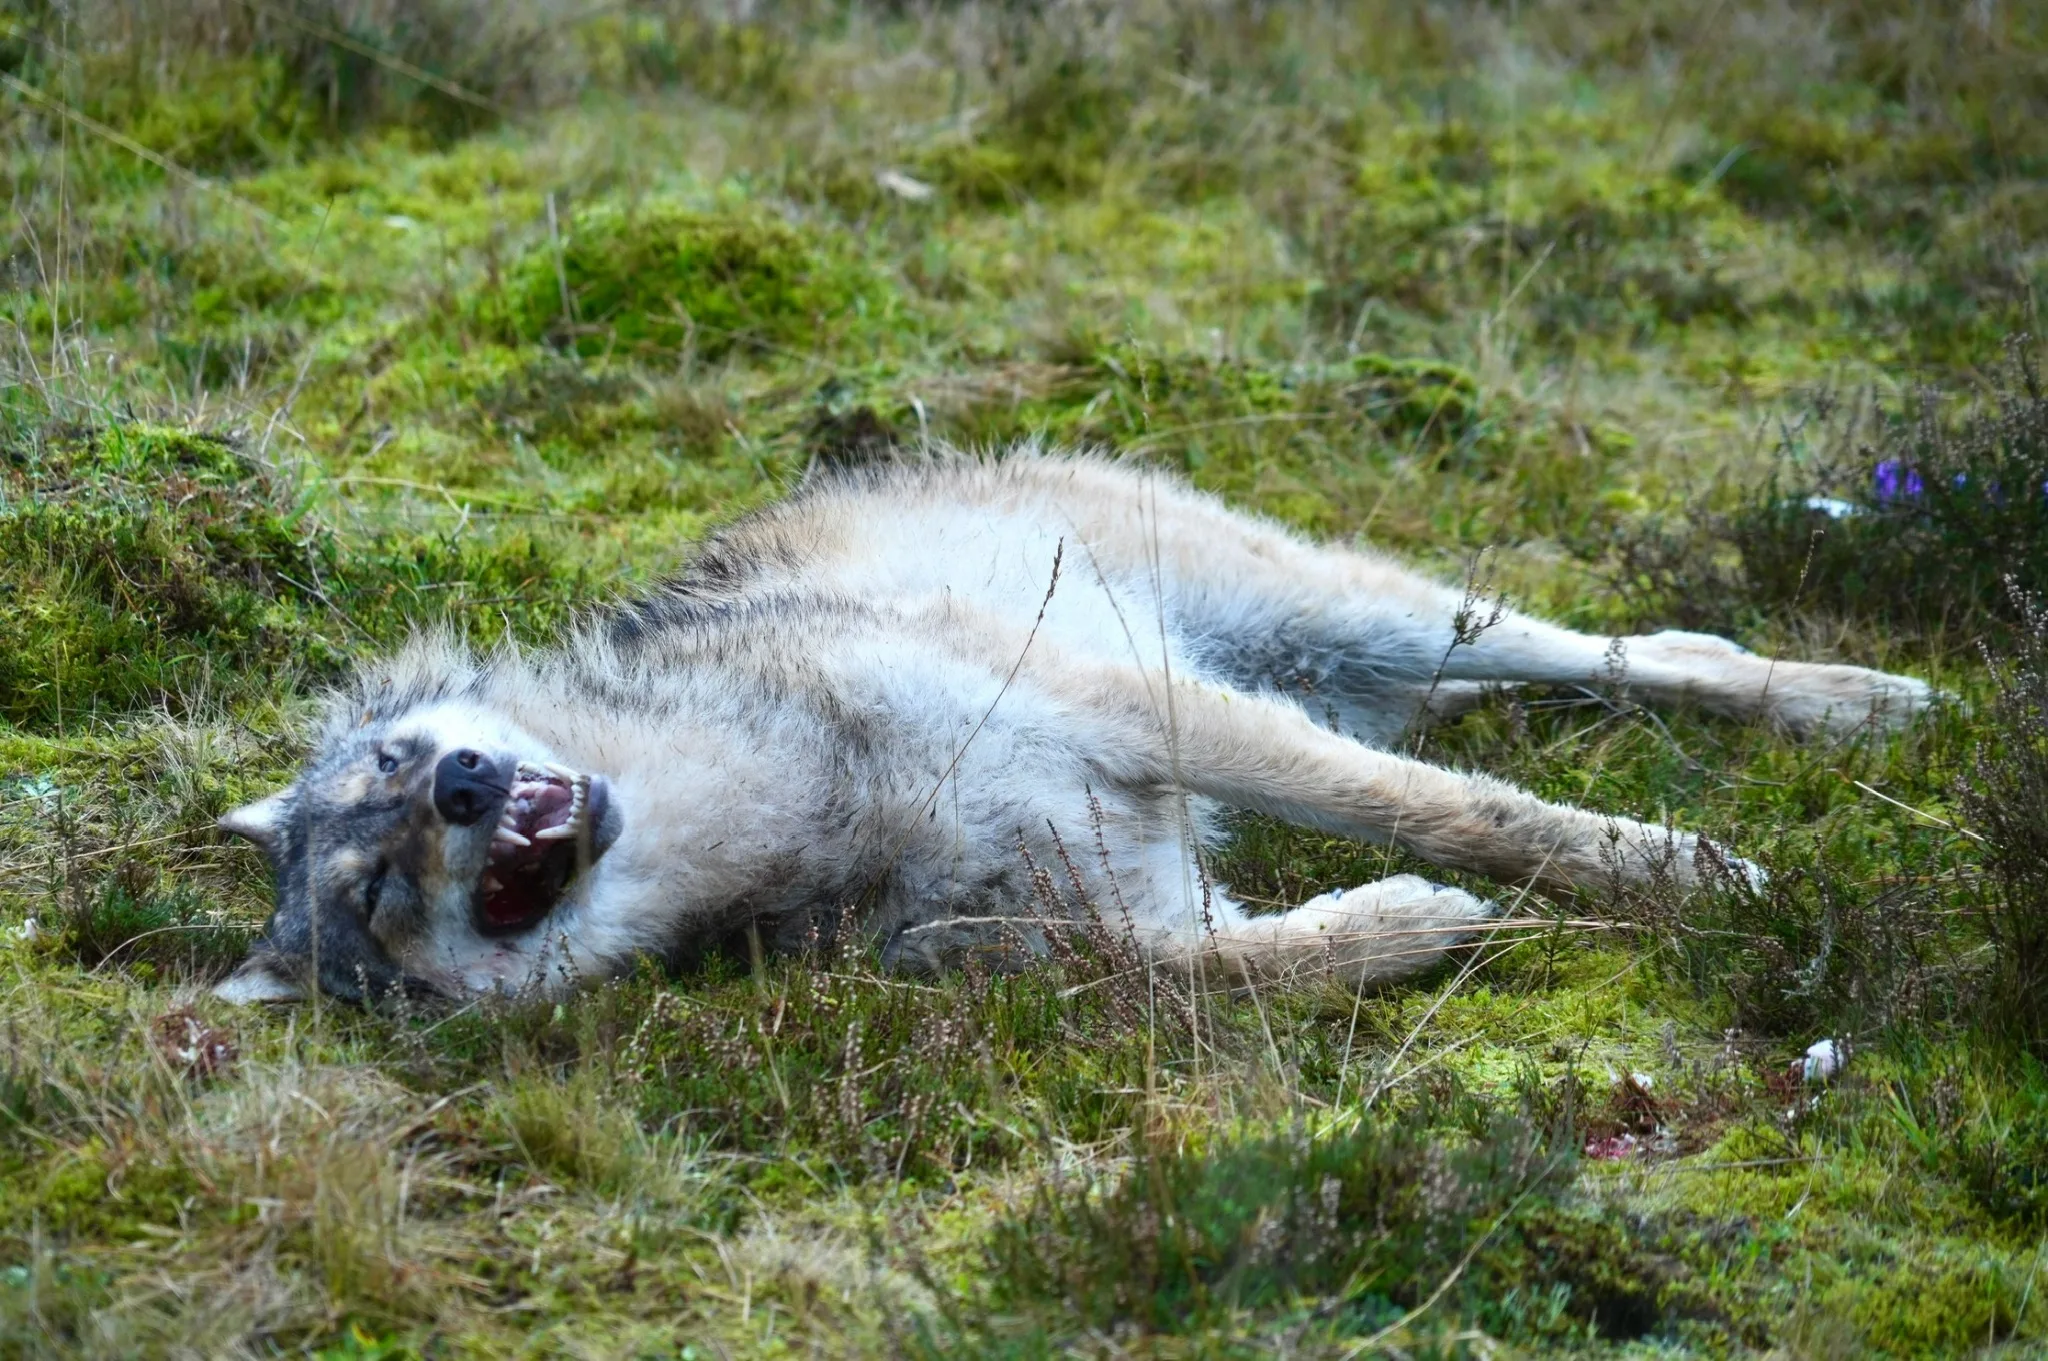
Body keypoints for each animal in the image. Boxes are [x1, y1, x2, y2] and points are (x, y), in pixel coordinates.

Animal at [213, 448, 1933, 1003]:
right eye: (375, 885)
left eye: (392, 764)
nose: (461, 781)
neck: (792, 798)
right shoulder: (1118, 926)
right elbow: (1244, 967)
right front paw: (1407, 929)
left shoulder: (1150, 714)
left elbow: (1456, 811)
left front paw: (1681, 876)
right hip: (1343, 665)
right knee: (1479, 705)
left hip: (1342, 621)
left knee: (1641, 651)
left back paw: (1851, 703)